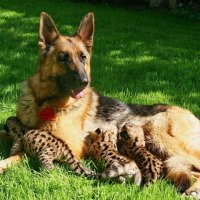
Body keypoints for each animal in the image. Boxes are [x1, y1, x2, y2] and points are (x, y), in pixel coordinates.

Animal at [0, 12, 200, 197]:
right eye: (63, 58)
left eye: (83, 57)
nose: (84, 82)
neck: (44, 102)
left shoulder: (68, 145)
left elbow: (20, 154)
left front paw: (4, 163)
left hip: (160, 135)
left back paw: (193, 191)